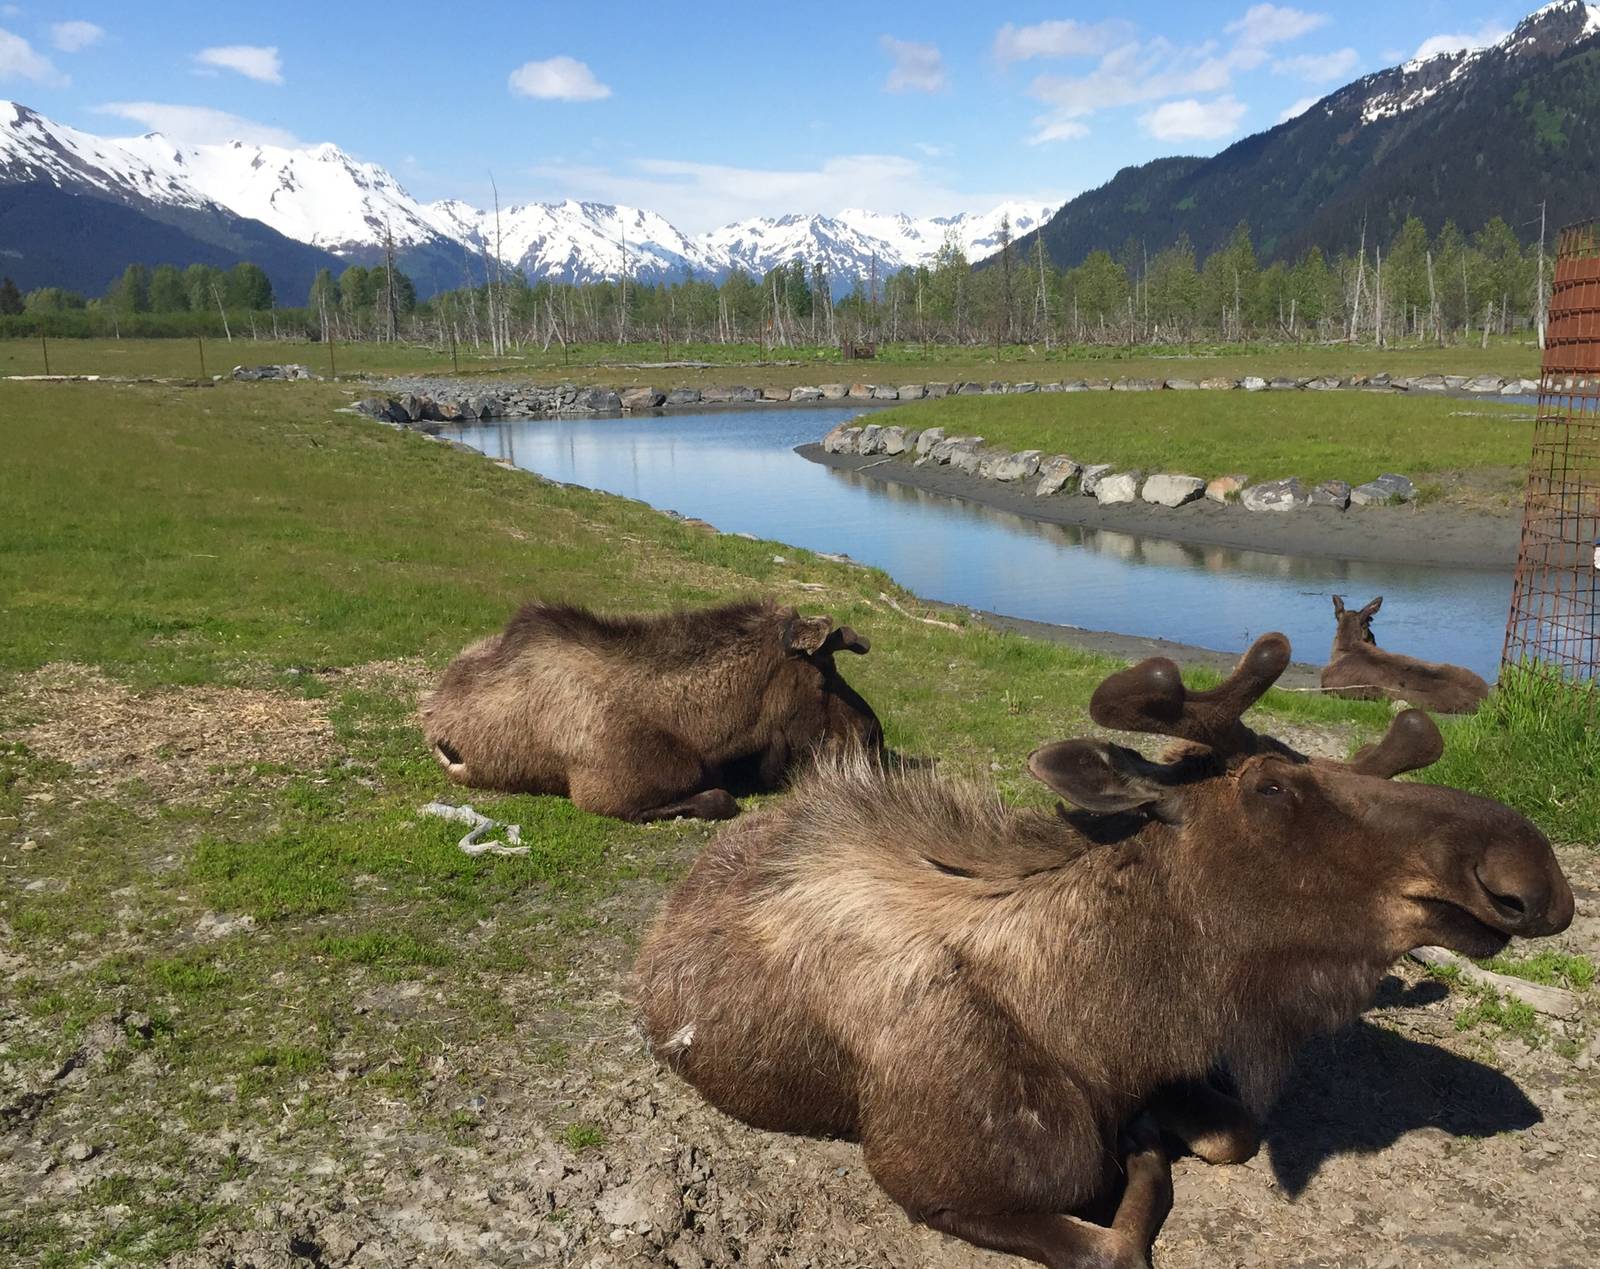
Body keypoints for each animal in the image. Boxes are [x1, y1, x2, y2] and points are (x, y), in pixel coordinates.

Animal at [634, 634, 1573, 1269]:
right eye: (1270, 786)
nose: (1530, 872)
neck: (1104, 1024)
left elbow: (1233, 1130)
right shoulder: (928, 1172)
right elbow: (1114, 1237)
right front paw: (1141, 1144)